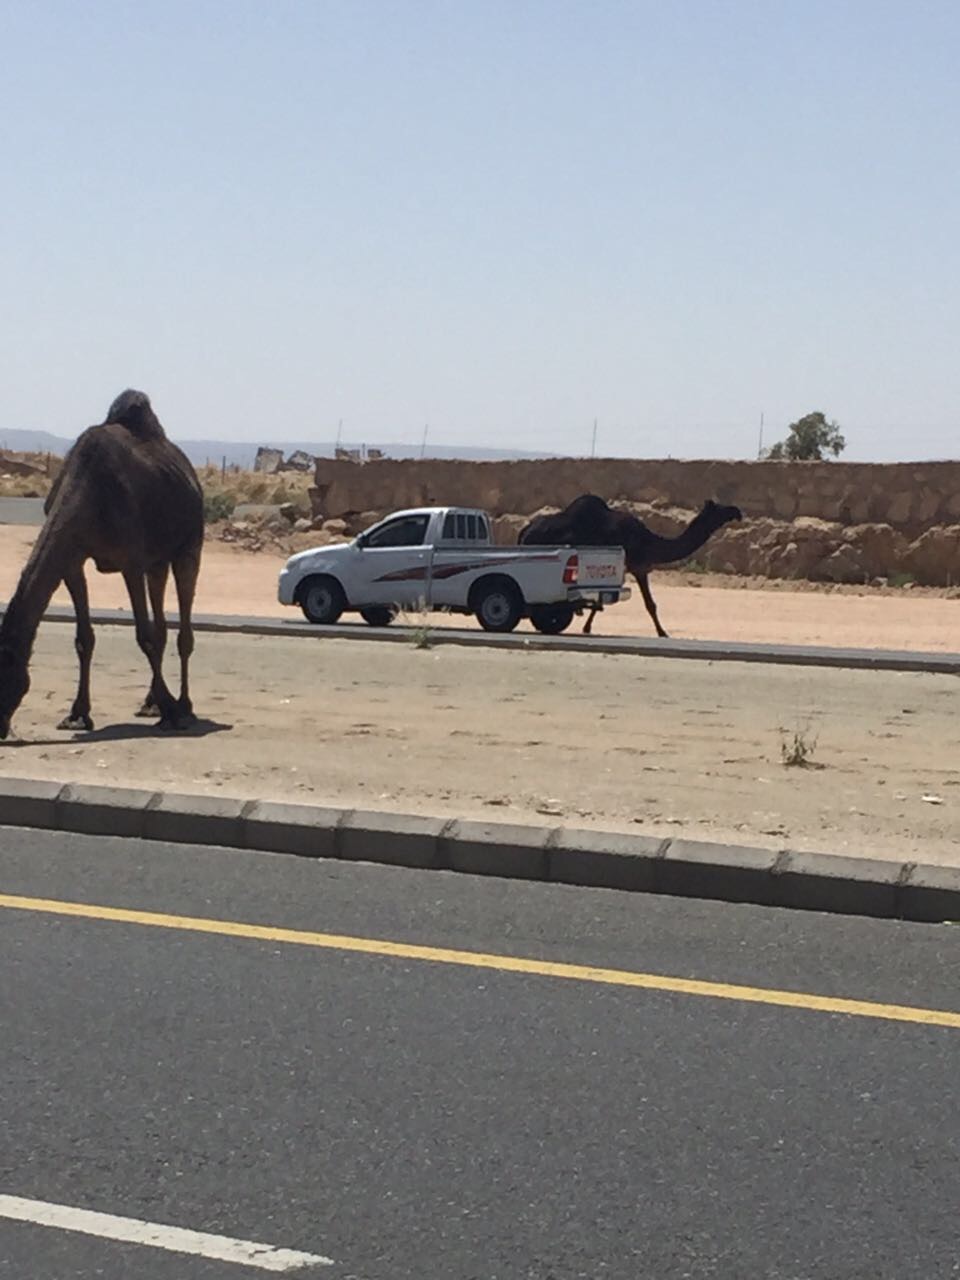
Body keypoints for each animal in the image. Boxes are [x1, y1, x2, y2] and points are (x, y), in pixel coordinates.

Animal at [0, 386, 203, 742]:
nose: (0, 728)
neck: (87, 494)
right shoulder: (73, 561)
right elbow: (85, 638)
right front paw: (77, 715)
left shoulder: (131, 562)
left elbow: (144, 636)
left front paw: (173, 711)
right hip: (157, 562)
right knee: (163, 621)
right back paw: (150, 704)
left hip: (188, 548)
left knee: (184, 632)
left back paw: (185, 706)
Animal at [522, 491, 742, 637]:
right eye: (719, 509)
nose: (737, 511)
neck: (650, 542)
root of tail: (525, 531)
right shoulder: (639, 567)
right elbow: (650, 604)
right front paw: (662, 632)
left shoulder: (626, 567)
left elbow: (601, 600)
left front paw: (587, 627)